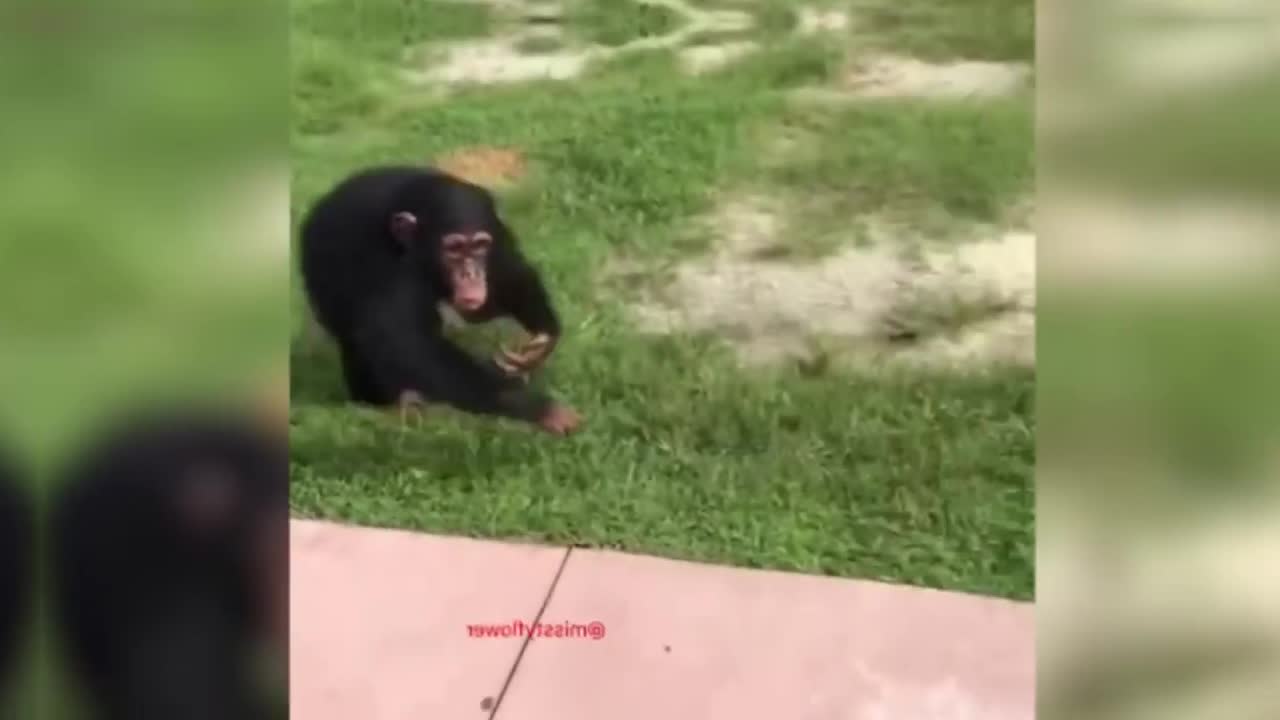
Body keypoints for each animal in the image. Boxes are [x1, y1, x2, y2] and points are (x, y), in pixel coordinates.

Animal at [299, 163, 581, 430]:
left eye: (479, 246)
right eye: (454, 249)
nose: (471, 274)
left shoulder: (496, 232)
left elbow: (504, 275)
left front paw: (544, 335)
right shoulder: (376, 259)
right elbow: (407, 343)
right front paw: (539, 408)